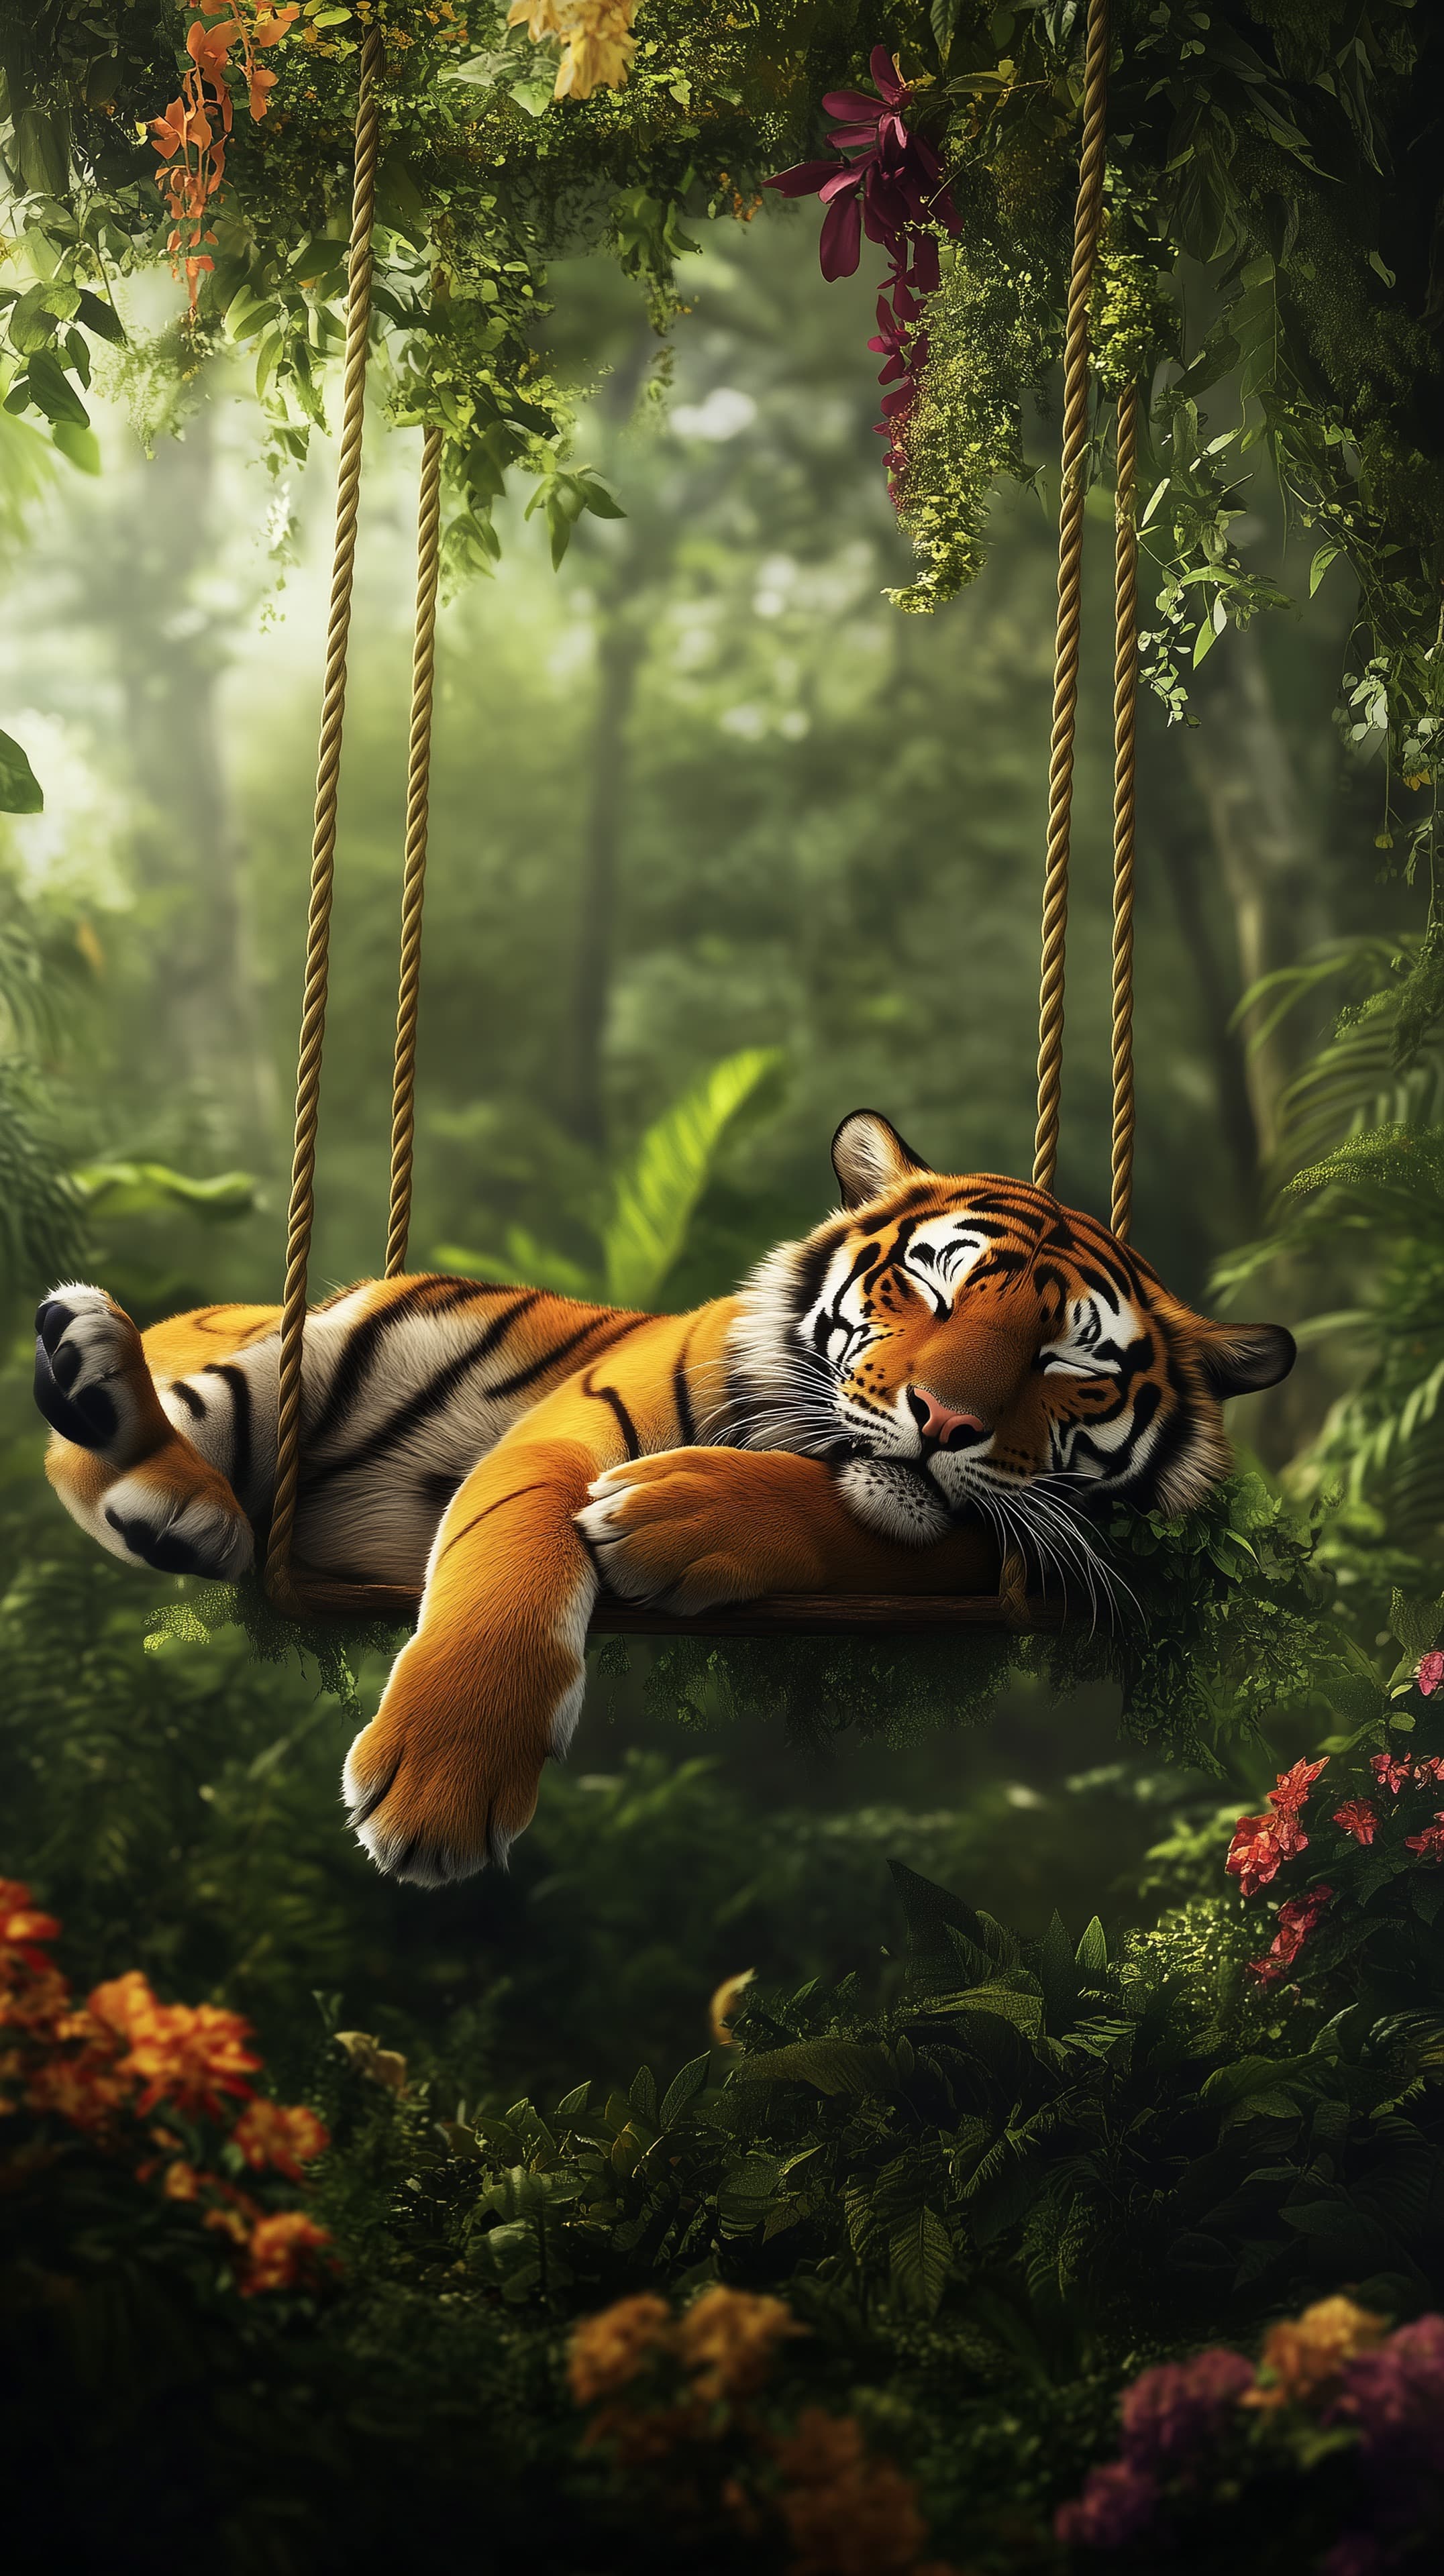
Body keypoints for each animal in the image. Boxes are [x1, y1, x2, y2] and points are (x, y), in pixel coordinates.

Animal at [34, 1109, 1294, 1889]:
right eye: (931, 1287)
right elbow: (509, 1559)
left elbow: (867, 1517)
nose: (945, 1422)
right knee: (100, 1438)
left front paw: (672, 1514)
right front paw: (441, 1784)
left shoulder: (1003, 1546)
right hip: (297, 1362)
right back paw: (123, 1412)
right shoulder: (566, 1430)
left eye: (1067, 1363)